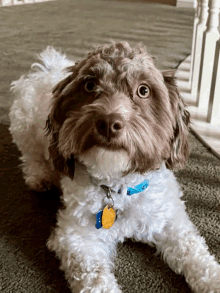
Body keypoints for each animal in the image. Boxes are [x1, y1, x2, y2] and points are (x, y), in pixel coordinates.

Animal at [9, 41, 220, 292]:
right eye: (90, 85)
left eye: (144, 90)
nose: (108, 123)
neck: (119, 185)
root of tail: (48, 68)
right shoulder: (76, 238)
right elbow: (95, 277)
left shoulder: (170, 220)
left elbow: (194, 250)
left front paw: (214, 279)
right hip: (24, 123)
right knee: (30, 154)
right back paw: (40, 176)